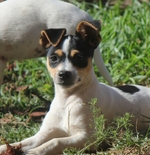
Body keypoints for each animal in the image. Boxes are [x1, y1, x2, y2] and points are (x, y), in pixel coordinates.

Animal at [0, 19, 150, 155]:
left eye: (79, 57)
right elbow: (23, 142)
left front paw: (36, 151)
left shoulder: (88, 137)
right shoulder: (44, 133)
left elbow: (55, 141)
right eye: (53, 58)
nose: (64, 74)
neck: (67, 100)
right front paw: (5, 148)